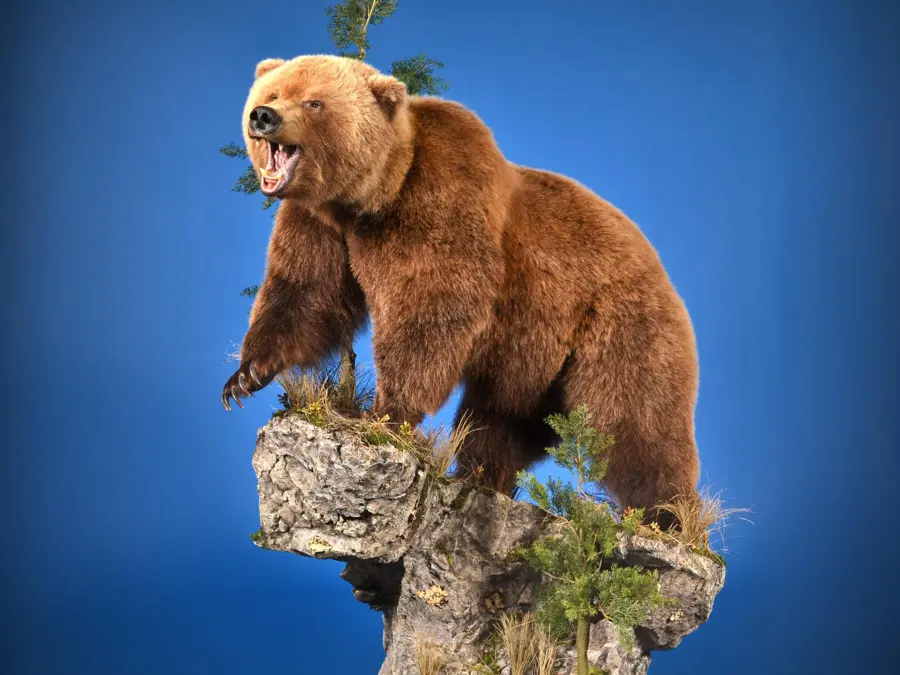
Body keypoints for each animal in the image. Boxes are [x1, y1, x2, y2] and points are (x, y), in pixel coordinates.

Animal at [222, 54, 701, 525]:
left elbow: (431, 309)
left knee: (635, 424)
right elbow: (303, 291)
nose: (263, 116)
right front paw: (246, 377)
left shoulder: (439, 201)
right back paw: (482, 477)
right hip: (530, 362)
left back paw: (669, 518)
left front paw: (381, 412)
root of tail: (665, 274)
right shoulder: (319, 225)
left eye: (314, 103)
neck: (372, 199)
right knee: (500, 422)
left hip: (619, 326)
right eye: (274, 92)